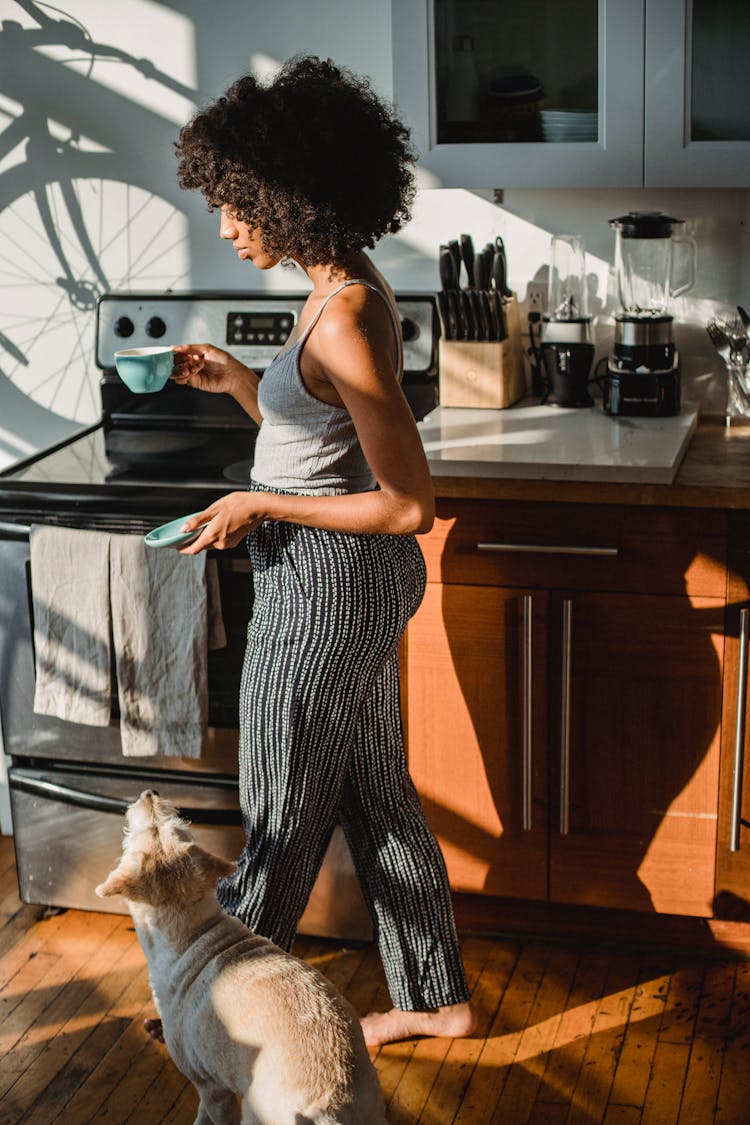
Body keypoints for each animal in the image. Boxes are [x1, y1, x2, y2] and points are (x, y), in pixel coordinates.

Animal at [96, 792, 386, 1125]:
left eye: (149, 830)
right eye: (173, 826)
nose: (150, 793)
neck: (193, 931)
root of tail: (330, 1109)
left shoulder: (212, 1087)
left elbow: (208, 1115)